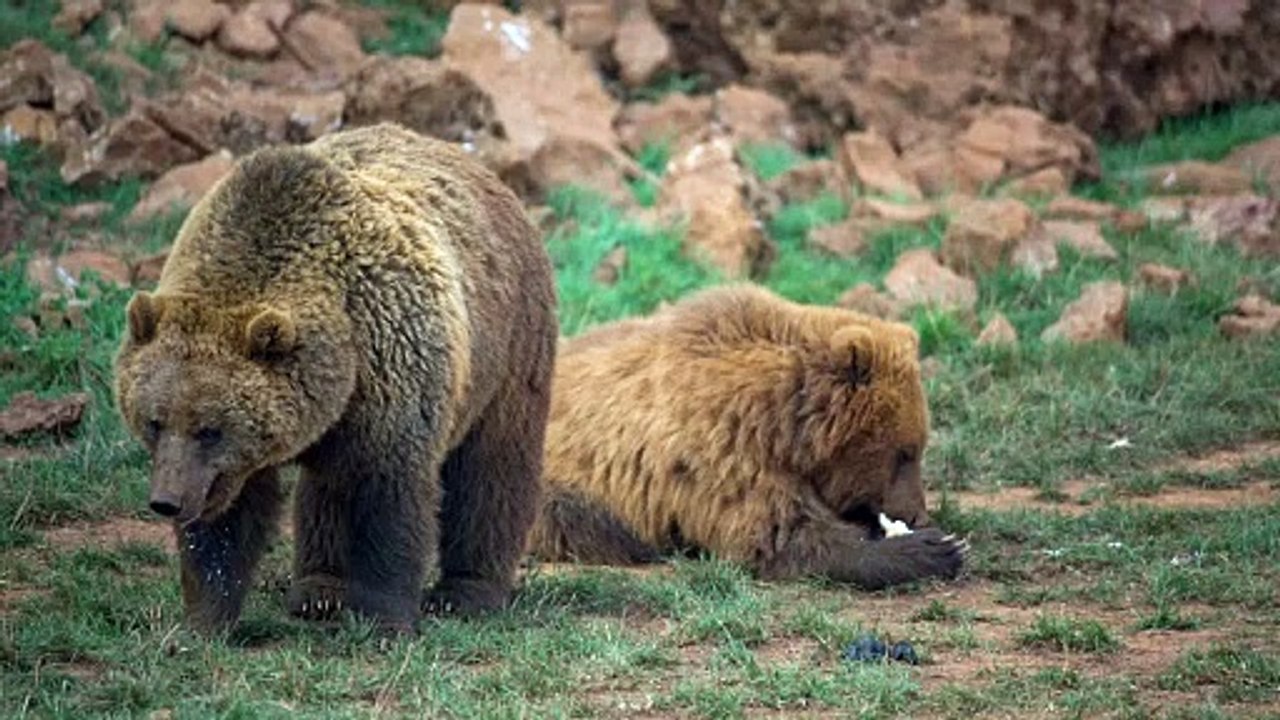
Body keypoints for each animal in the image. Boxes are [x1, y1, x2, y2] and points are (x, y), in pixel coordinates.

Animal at [113, 123, 557, 634]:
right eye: (154, 421)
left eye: (211, 429)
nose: (166, 501)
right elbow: (227, 519)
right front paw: (204, 620)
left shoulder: (390, 366)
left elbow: (388, 498)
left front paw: (387, 619)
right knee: (326, 486)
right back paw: (319, 590)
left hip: (509, 346)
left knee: (491, 468)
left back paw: (467, 592)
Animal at [527, 284, 965, 589]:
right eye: (904, 452)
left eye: (916, 448)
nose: (917, 514)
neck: (781, 425)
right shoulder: (722, 453)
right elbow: (779, 535)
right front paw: (934, 549)